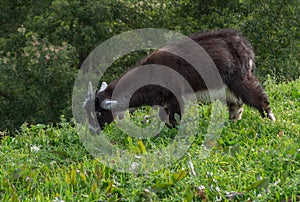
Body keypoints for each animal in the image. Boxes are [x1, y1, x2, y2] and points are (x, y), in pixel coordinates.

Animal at [83, 28, 276, 131]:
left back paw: (271, 120)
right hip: (227, 86)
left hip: (241, 78)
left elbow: (173, 119)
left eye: (99, 113)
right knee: (236, 104)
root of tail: (244, 44)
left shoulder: (176, 97)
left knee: (257, 98)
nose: (92, 132)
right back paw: (232, 123)